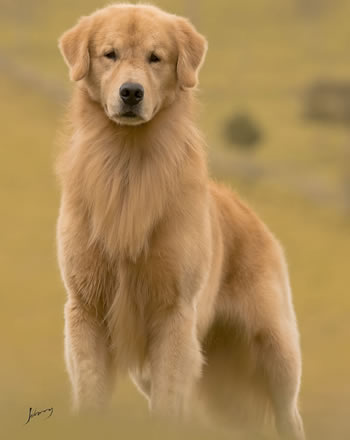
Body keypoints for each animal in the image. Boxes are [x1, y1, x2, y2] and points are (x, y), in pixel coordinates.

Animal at [56, 4, 304, 440]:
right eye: (109, 54)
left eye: (156, 57)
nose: (131, 93)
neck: (128, 163)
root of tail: (251, 214)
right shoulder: (85, 307)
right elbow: (90, 388)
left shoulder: (173, 313)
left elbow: (168, 403)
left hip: (277, 351)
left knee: (290, 414)